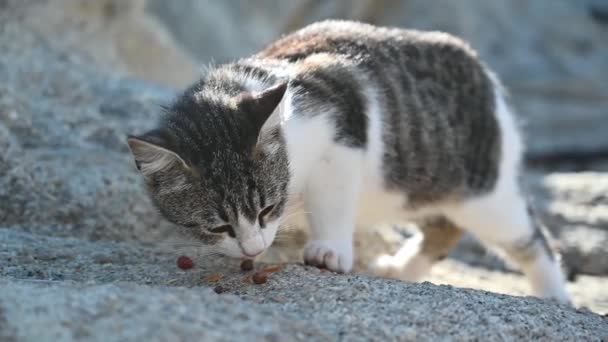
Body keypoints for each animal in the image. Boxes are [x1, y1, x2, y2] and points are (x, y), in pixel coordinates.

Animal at [127, 19, 568, 302]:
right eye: (218, 226)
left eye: (267, 208)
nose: (253, 248)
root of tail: (484, 72)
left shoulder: (342, 135)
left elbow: (333, 202)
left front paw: (329, 251)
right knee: (444, 227)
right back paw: (401, 269)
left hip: (485, 193)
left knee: (530, 240)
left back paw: (555, 296)